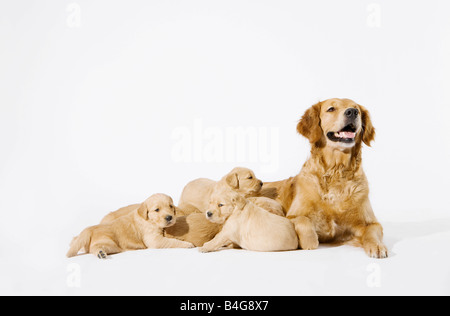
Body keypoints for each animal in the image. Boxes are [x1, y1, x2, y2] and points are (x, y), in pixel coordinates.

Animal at [264, 99, 386, 260]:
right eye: (331, 109)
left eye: (357, 110)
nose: (352, 112)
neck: (336, 171)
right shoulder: (291, 216)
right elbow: (304, 220)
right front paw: (310, 241)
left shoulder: (371, 222)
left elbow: (372, 232)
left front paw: (377, 246)